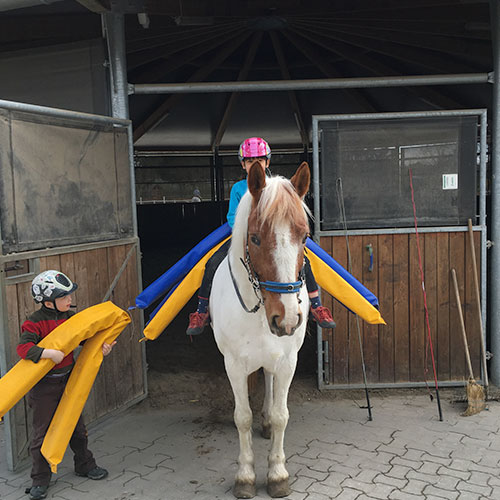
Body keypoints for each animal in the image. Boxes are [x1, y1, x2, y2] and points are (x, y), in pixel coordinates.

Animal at [209, 162, 310, 498]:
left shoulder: (288, 361)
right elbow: (242, 418)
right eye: (254, 238)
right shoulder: (233, 364)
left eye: (305, 237)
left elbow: (281, 416)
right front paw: (245, 476)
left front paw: (278, 474)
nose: (287, 319)